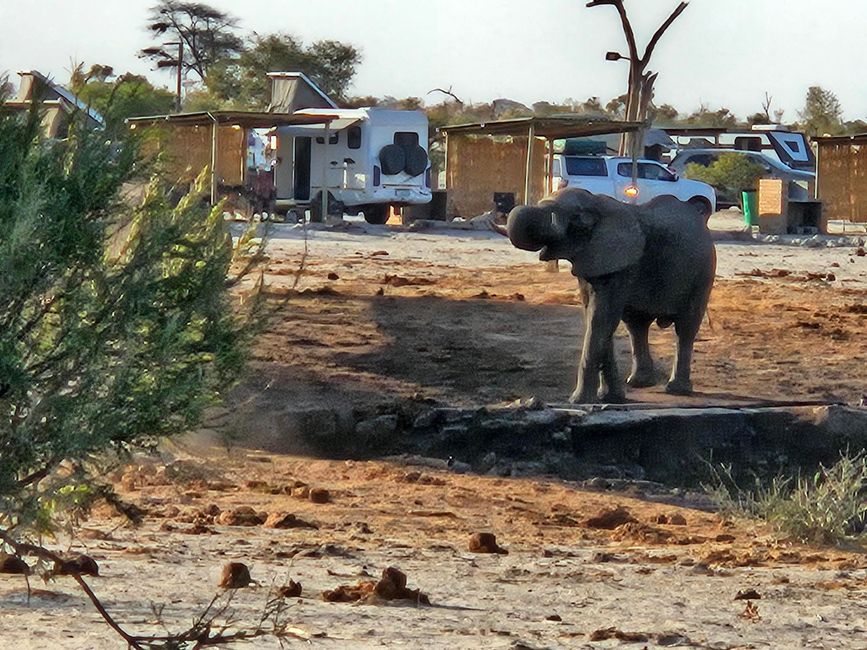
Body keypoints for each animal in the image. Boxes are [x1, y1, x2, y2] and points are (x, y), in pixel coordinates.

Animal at [506, 185, 716, 402]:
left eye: (577, 221)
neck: (597, 204)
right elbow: (595, 317)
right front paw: (611, 398)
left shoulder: (620, 263)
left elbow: (602, 318)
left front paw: (579, 401)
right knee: (636, 326)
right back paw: (639, 383)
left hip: (703, 273)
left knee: (685, 328)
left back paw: (677, 390)